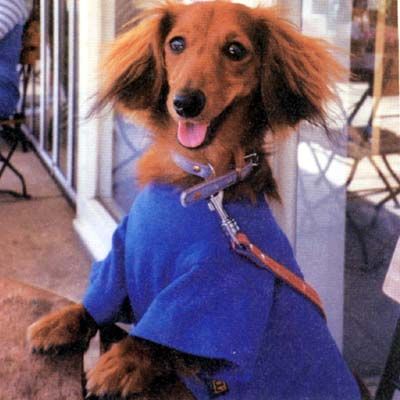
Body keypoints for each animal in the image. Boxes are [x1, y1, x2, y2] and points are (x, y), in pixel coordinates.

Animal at [27, 2, 361, 399]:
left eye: (235, 50)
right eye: (176, 44)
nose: (186, 103)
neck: (200, 180)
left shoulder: (212, 289)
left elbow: (161, 336)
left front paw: (124, 361)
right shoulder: (121, 253)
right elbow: (100, 296)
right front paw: (63, 320)